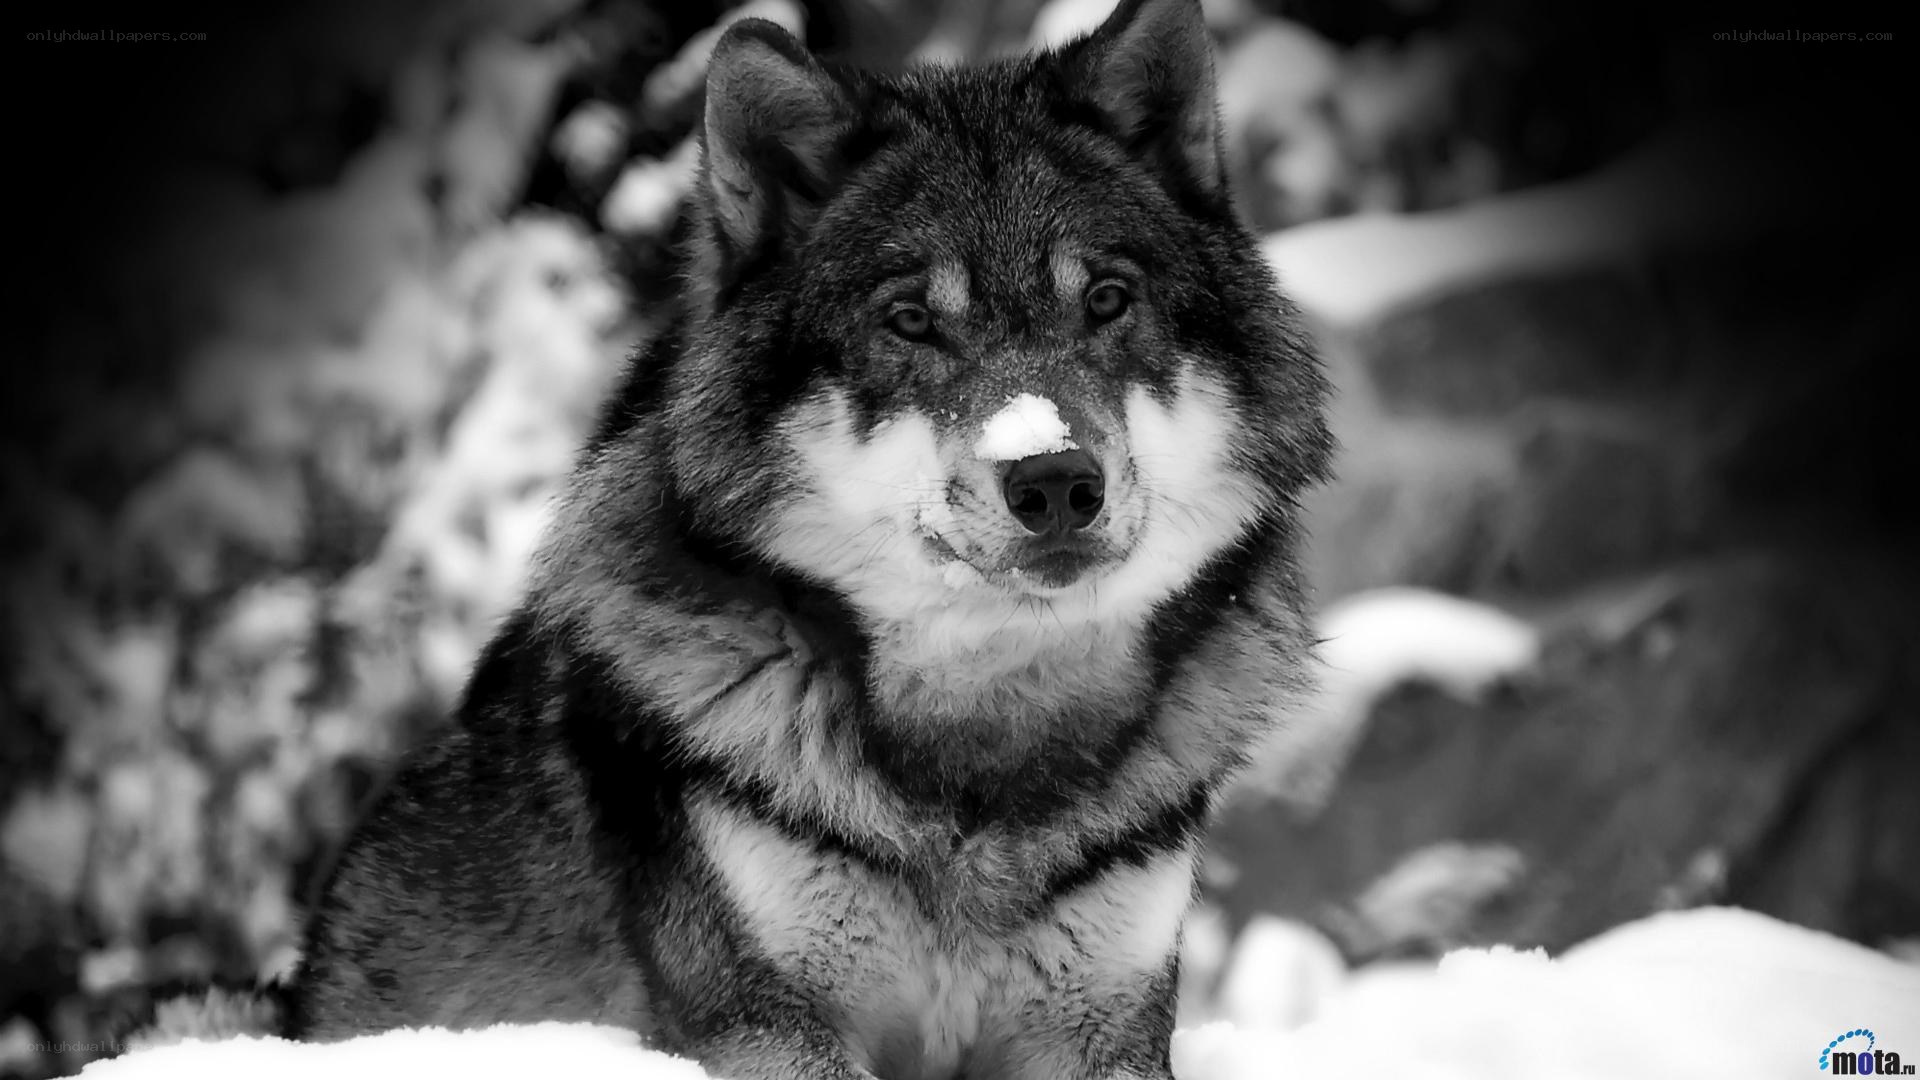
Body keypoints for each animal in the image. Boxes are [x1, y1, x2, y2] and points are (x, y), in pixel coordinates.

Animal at [273, 0, 1332, 1076]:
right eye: (911, 322)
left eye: (1108, 301)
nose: (1055, 480)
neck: (984, 747)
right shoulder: (766, 1021)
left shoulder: (1107, 1026)